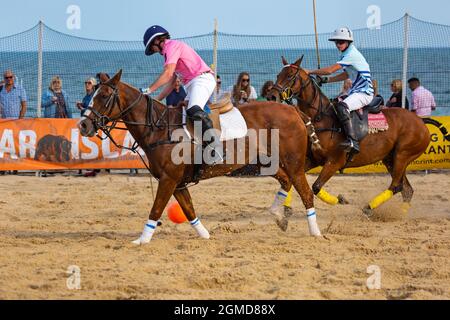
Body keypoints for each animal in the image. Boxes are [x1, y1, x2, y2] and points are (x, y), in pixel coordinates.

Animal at [78, 70, 324, 245]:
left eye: (104, 96)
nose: (83, 125)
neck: (158, 128)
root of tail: (294, 111)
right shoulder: (177, 183)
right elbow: (189, 210)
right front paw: (205, 235)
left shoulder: (168, 179)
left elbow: (156, 208)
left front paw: (142, 240)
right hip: (264, 163)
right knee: (286, 181)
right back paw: (278, 216)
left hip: (293, 163)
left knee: (306, 192)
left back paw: (315, 232)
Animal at [266, 57, 430, 218]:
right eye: (278, 75)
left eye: (290, 76)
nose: (271, 96)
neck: (320, 118)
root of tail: (421, 123)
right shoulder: (313, 159)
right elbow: (292, 179)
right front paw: (287, 208)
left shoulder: (335, 161)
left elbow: (316, 186)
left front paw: (340, 200)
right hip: (390, 159)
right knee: (406, 189)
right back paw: (400, 214)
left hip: (402, 155)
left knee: (396, 185)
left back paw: (368, 208)